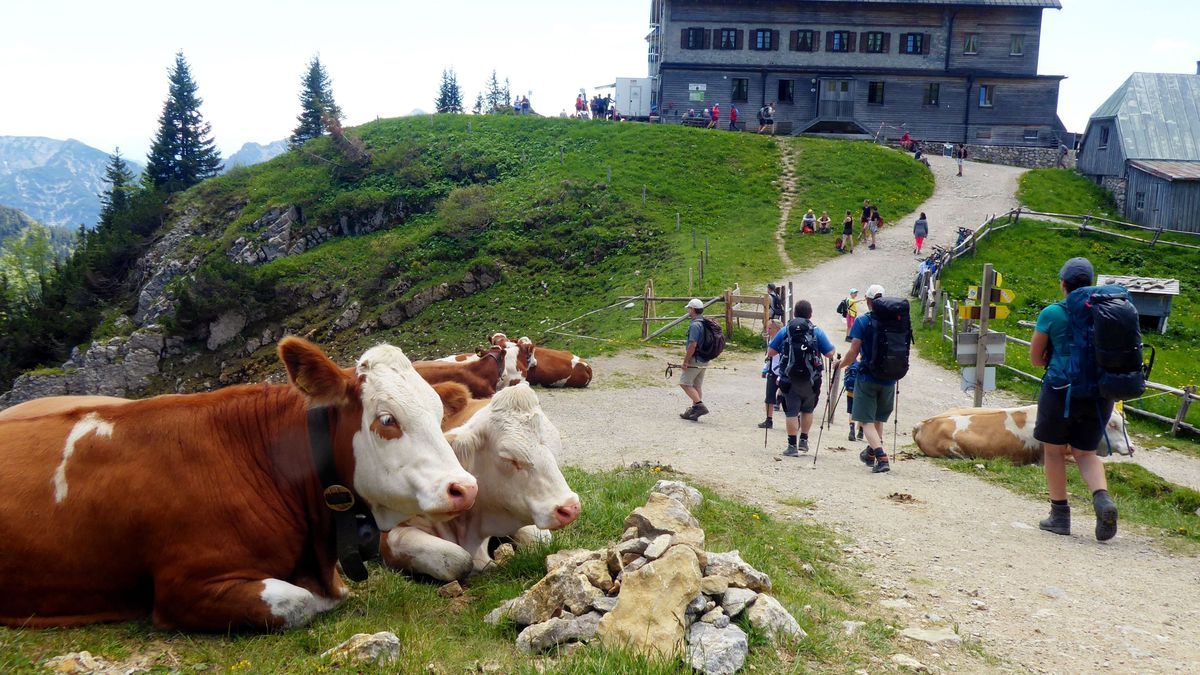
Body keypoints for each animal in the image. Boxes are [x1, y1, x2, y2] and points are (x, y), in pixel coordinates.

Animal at [376, 379, 578, 578]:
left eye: (555, 449)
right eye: (508, 458)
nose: (570, 508)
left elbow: (538, 540)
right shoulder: (390, 535)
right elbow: (458, 559)